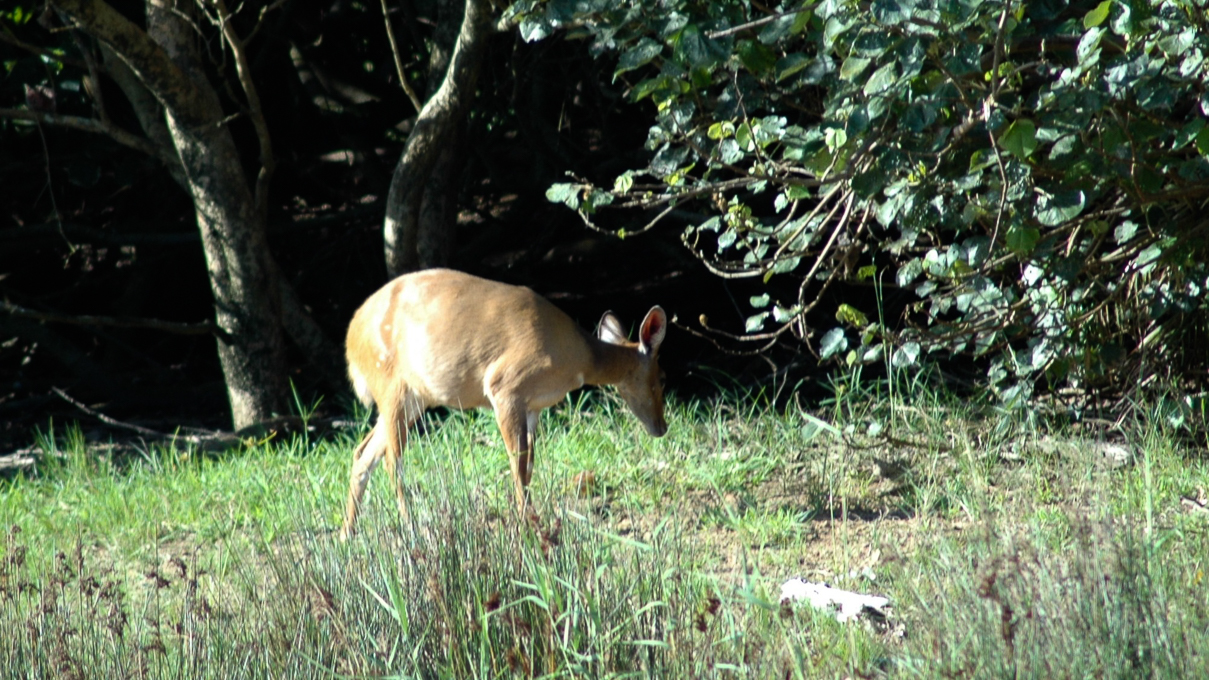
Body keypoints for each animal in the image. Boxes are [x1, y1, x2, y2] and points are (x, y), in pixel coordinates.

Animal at [341, 268, 668, 537]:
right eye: (660, 379)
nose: (662, 427)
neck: (576, 358)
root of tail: (350, 340)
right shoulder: (505, 386)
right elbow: (517, 464)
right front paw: (527, 525)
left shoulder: (534, 406)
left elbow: (529, 465)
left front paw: (534, 521)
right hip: (390, 382)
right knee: (391, 460)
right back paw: (411, 529)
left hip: (415, 397)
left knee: (363, 453)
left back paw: (348, 535)